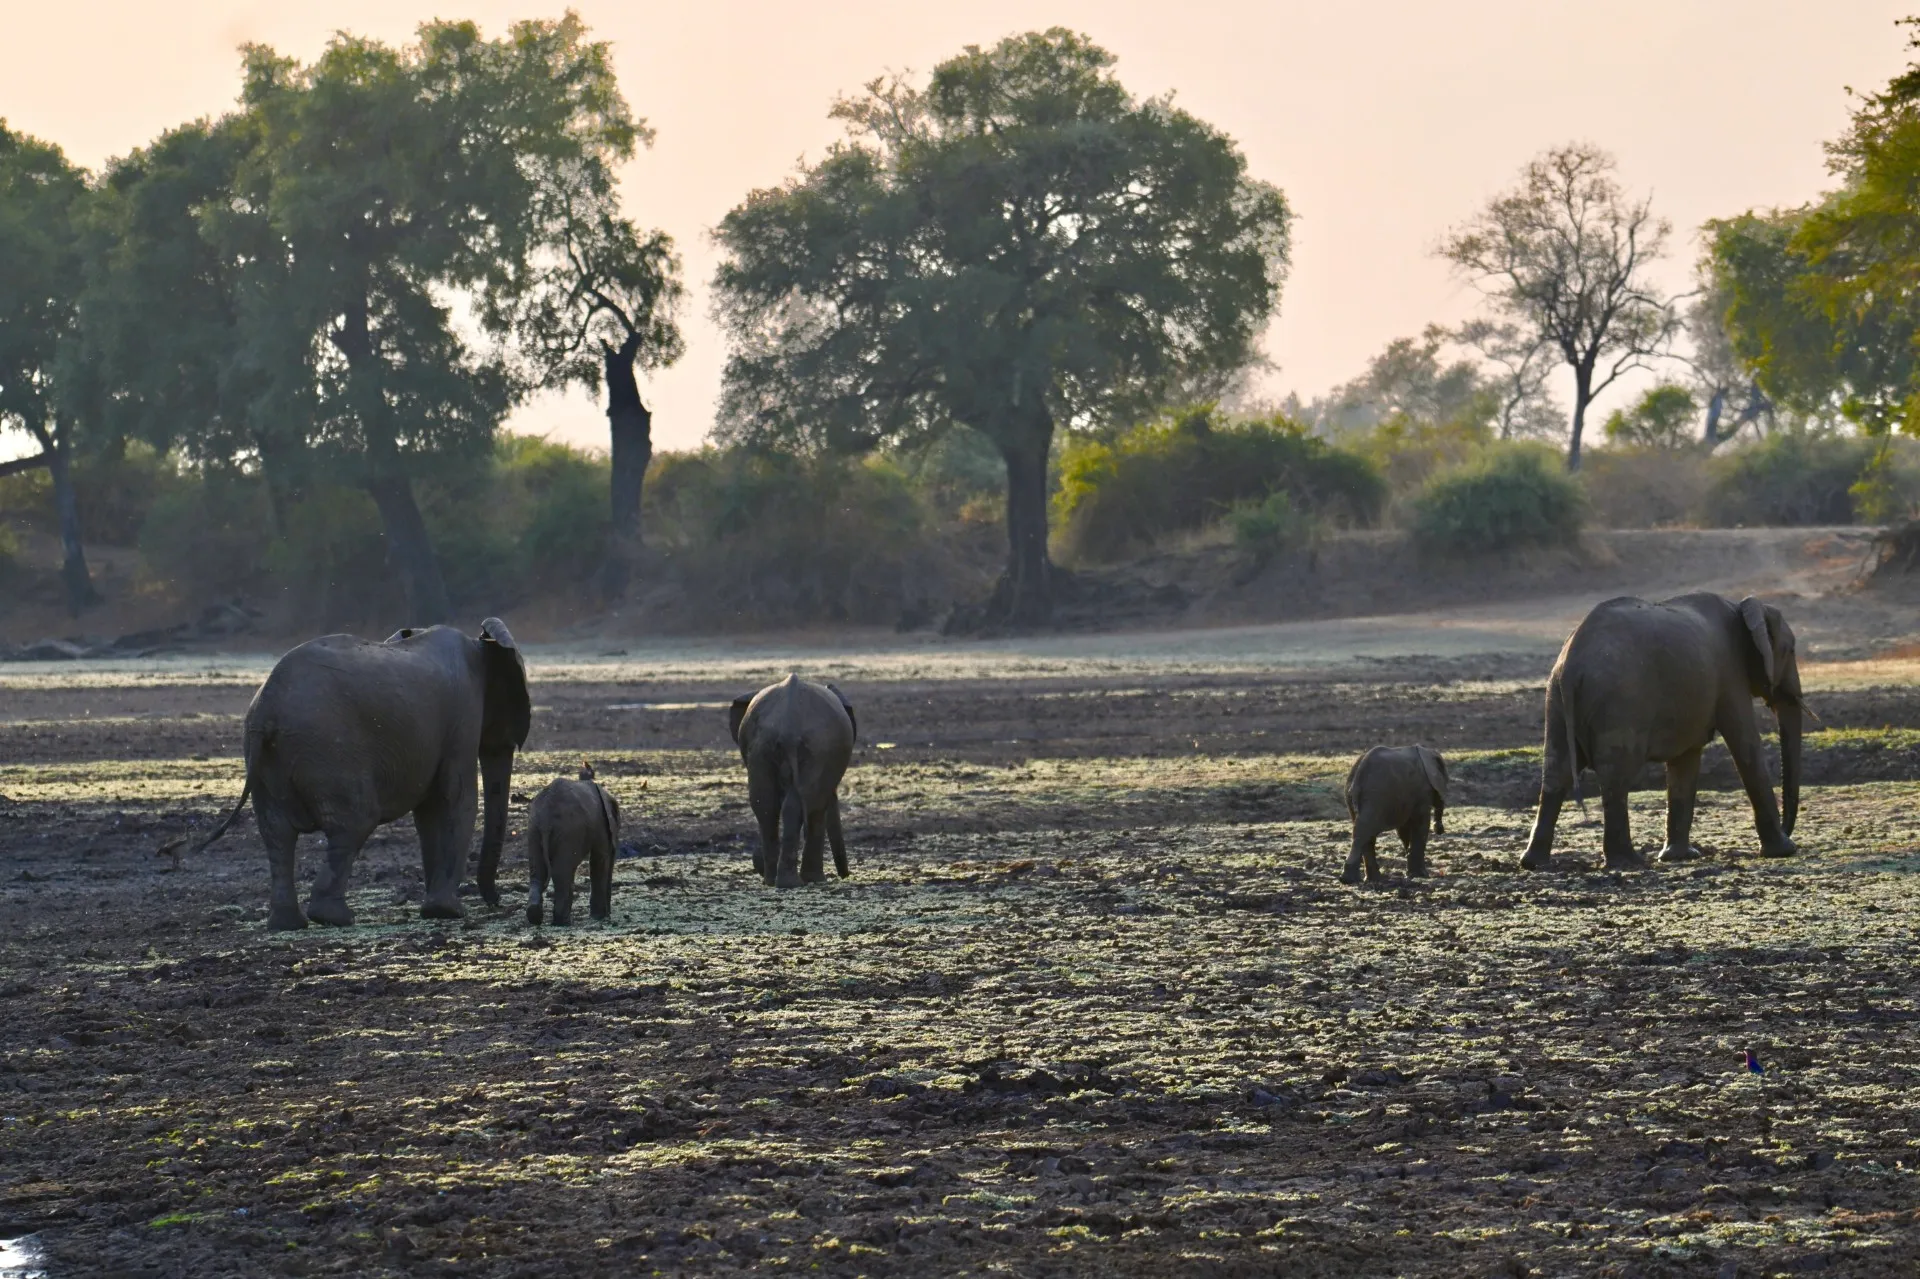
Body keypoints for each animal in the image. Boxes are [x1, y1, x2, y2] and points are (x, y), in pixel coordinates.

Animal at [192, 618, 531, 929]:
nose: (497, 901)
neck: (481, 645)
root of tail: (267, 709)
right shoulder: (462, 717)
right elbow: (455, 798)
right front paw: (447, 912)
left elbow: (430, 811)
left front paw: (437, 909)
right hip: (329, 752)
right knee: (355, 822)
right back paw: (334, 917)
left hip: (266, 761)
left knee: (277, 834)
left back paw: (288, 924)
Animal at [526, 764, 621, 926]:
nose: (609, 915)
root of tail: (545, 818)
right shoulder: (601, 823)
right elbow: (600, 858)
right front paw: (599, 917)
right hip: (568, 831)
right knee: (561, 871)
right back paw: (563, 921)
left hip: (534, 829)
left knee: (538, 872)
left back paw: (535, 916)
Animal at [727, 675, 856, 889]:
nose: (845, 875)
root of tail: (789, 725)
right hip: (817, 752)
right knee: (809, 805)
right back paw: (800, 881)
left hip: (763, 748)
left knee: (766, 805)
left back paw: (774, 881)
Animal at [1342, 745, 1448, 885]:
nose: (1439, 829)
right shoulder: (1422, 791)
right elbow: (1420, 824)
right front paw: (1422, 875)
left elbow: (1404, 830)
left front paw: (1412, 874)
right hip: (1376, 796)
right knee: (1363, 831)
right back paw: (1354, 879)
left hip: (1356, 798)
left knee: (1364, 833)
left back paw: (1368, 879)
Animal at [1521, 592, 1803, 872]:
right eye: (1791, 650)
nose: (1788, 830)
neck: (1743, 608)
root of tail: (1571, 665)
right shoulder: (1731, 674)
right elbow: (1744, 741)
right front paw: (1784, 851)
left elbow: (1685, 759)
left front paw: (1680, 857)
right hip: (1619, 703)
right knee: (1615, 777)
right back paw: (1628, 862)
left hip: (1555, 699)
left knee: (1556, 772)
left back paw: (1535, 863)